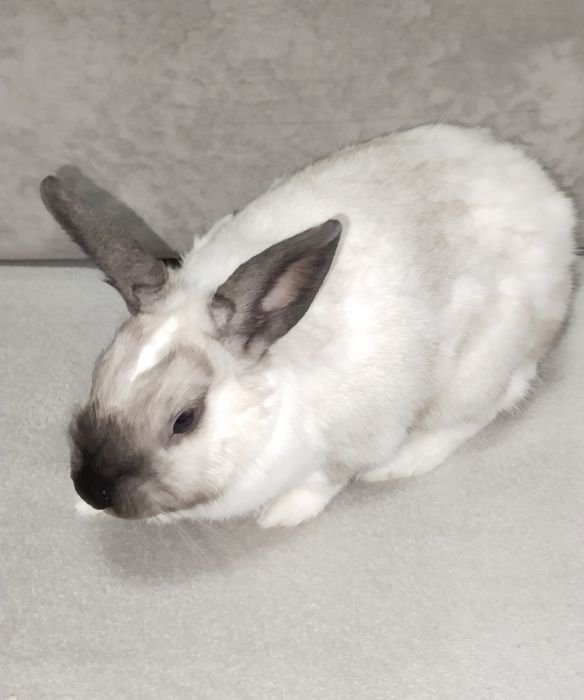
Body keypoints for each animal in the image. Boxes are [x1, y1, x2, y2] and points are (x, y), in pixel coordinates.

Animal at [40, 123, 576, 528]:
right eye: (98, 375)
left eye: (185, 420)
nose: (92, 489)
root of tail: (552, 200)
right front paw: (83, 511)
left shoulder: (361, 435)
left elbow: (325, 480)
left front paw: (282, 514)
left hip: (479, 367)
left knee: (477, 414)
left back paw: (403, 465)